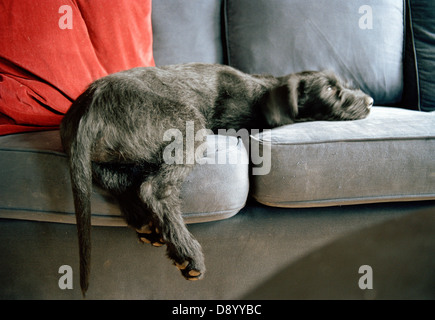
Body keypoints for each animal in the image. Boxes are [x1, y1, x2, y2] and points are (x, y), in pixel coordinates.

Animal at [60, 63, 374, 296]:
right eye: (331, 89)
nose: (371, 101)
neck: (261, 91)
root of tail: (91, 104)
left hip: (110, 157)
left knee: (119, 180)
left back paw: (145, 222)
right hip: (187, 121)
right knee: (153, 188)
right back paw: (186, 251)